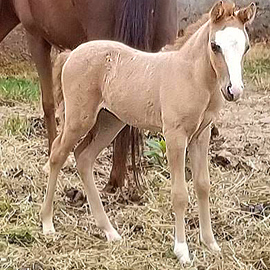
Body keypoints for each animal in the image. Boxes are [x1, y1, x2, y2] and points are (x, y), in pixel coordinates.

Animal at [41, 1, 256, 264]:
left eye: (246, 47)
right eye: (215, 46)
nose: (234, 90)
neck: (190, 76)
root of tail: (71, 54)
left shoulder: (201, 135)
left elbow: (203, 185)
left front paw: (211, 243)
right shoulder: (175, 135)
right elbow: (179, 194)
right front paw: (182, 250)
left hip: (110, 121)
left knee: (84, 157)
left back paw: (110, 231)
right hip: (79, 119)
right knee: (57, 155)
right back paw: (47, 224)